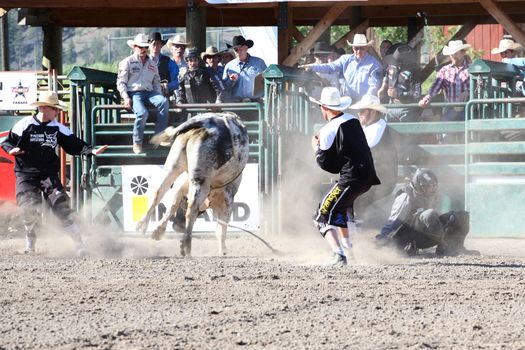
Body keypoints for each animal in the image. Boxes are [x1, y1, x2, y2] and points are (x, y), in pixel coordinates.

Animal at [135, 113, 250, 258]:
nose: (178, 227)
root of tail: (206, 122)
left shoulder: (180, 186)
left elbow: (172, 205)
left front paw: (158, 231)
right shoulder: (228, 196)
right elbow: (221, 226)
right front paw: (223, 249)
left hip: (173, 166)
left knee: (158, 192)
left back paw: (142, 225)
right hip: (201, 180)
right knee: (192, 209)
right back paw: (186, 246)